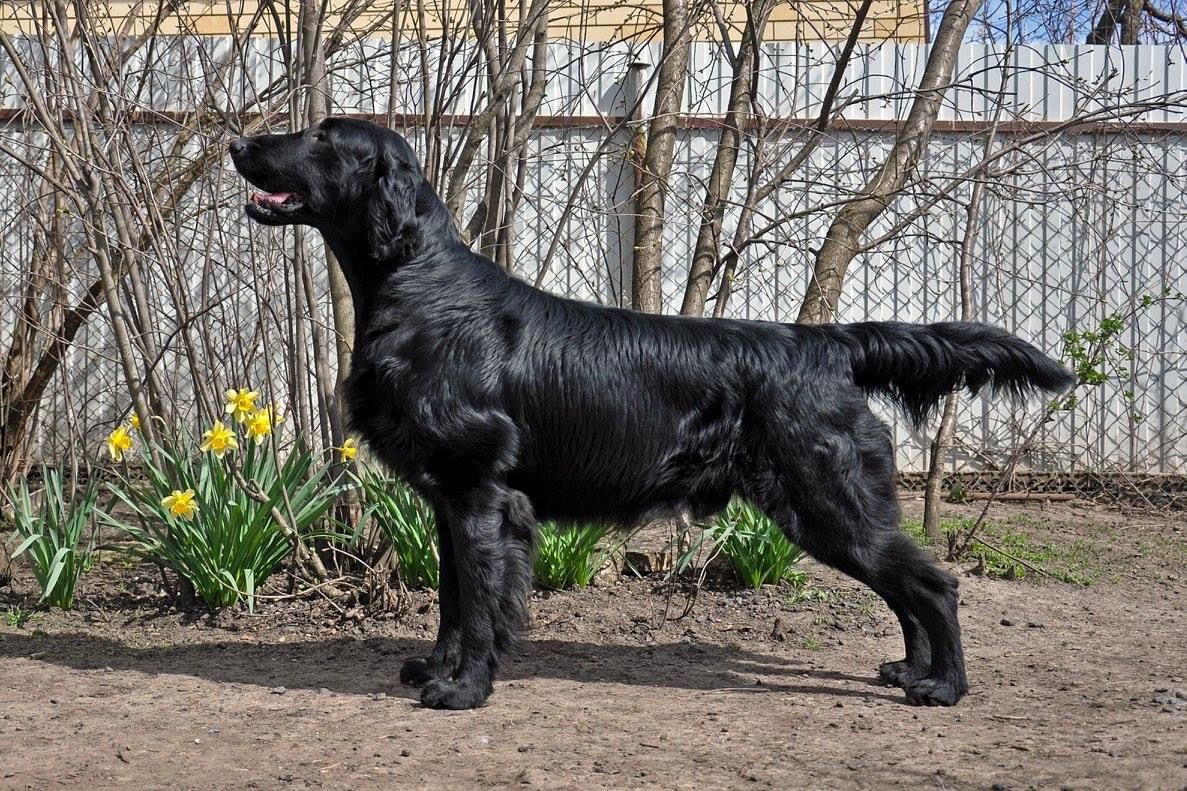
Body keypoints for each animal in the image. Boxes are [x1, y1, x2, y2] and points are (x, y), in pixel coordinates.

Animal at [231, 116, 1077, 707]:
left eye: (322, 137)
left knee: (933, 586)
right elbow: (450, 600)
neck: (417, 284)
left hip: (827, 500)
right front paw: (434, 667)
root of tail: (824, 342)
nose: (238, 140)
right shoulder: (448, 498)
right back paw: (908, 669)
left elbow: (480, 604)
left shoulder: (481, 496)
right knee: (907, 590)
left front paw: (464, 687)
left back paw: (942, 686)